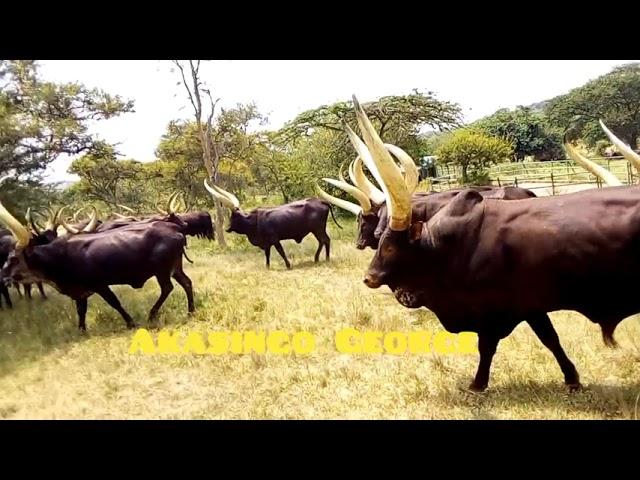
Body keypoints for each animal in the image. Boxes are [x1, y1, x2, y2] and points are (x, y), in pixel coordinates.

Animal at [205, 181, 340, 270]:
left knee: (325, 240)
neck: (254, 221)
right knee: (323, 241)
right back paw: (318, 258)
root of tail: (320, 200)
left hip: (318, 229)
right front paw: (267, 266)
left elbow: (281, 252)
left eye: (233, 217)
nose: (227, 228)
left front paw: (288, 265)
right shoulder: (267, 243)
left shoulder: (274, 240)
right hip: (317, 230)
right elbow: (267, 254)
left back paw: (325, 258)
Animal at [348, 94, 640, 394]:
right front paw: (572, 379)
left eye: (390, 246)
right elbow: (550, 339)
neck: (451, 246)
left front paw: (477, 384)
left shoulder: (500, 309)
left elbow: (494, 346)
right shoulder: (529, 307)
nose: (368, 277)